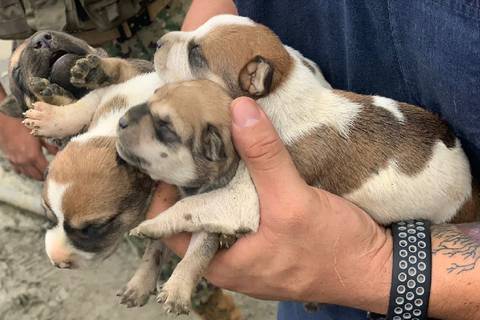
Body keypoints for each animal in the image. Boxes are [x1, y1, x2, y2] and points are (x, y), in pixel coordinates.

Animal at [116, 79, 240, 314]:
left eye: (165, 125)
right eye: (149, 99)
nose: (121, 120)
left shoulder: (208, 220)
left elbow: (196, 256)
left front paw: (177, 290)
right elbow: (153, 251)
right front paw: (138, 285)